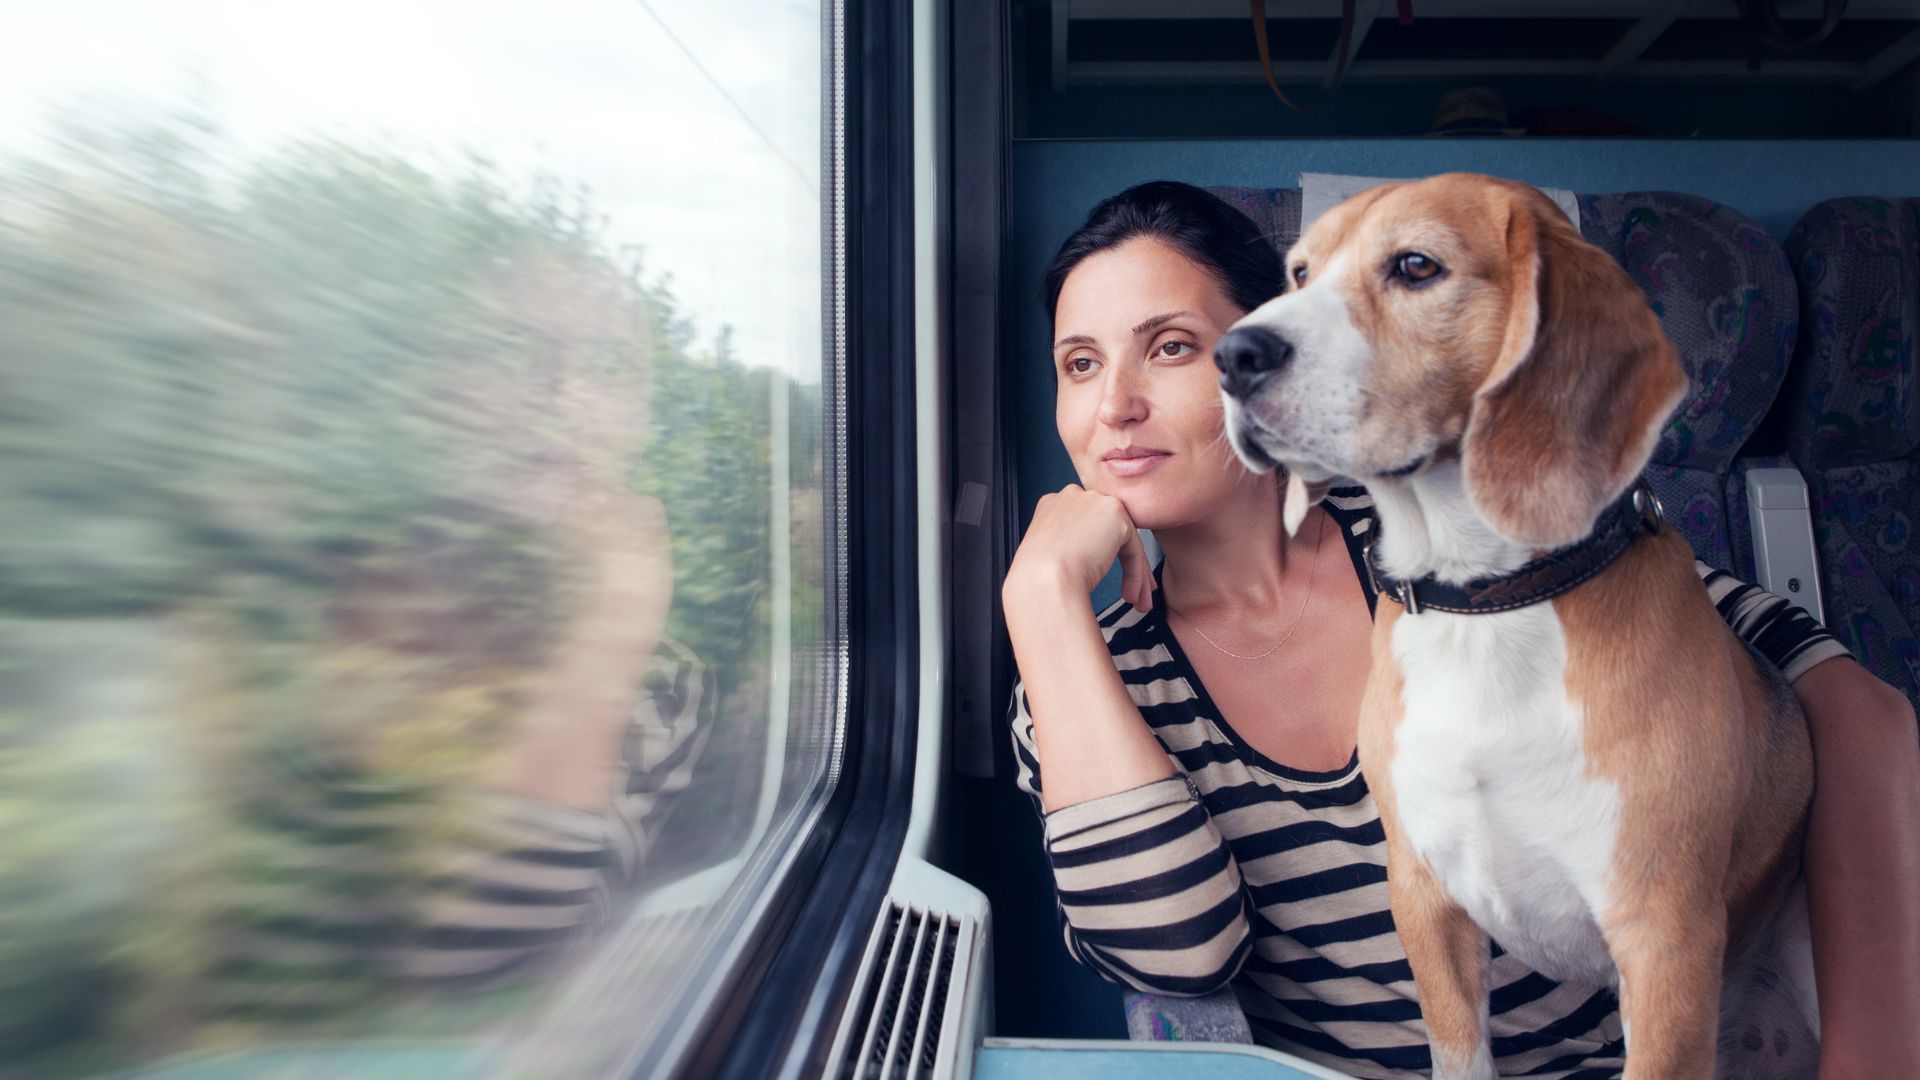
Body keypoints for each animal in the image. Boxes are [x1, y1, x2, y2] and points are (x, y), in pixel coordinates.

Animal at [1221, 171, 1820, 1068]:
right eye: (1298, 272)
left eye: (1416, 265)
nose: (1232, 356)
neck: (1486, 602)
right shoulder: (1424, 899)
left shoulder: (1664, 940)